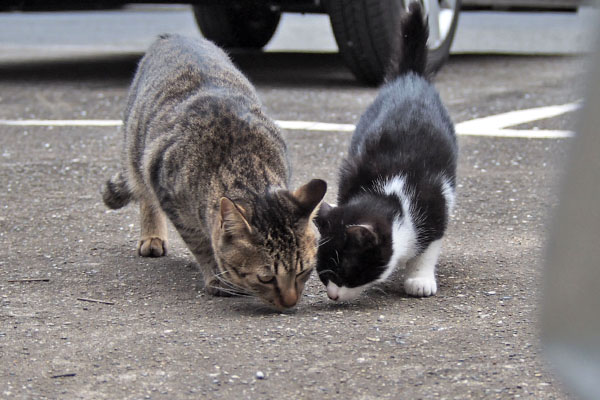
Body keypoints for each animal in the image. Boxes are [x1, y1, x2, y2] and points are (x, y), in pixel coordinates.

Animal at [103, 34, 328, 310]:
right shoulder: (167, 192)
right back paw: (152, 236)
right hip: (138, 152)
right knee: (144, 194)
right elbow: (201, 244)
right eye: (266, 278)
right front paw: (216, 277)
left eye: (303, 271)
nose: (290, 303)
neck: (244, 164)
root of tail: (172, 36)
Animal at [316, 3, 458, 302]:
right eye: (322, 271)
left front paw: (419, 279)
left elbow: (428, 248)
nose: (332, 295)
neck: (391, 194)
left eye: (346, 272)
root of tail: (409, 76)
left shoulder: (435, 203)